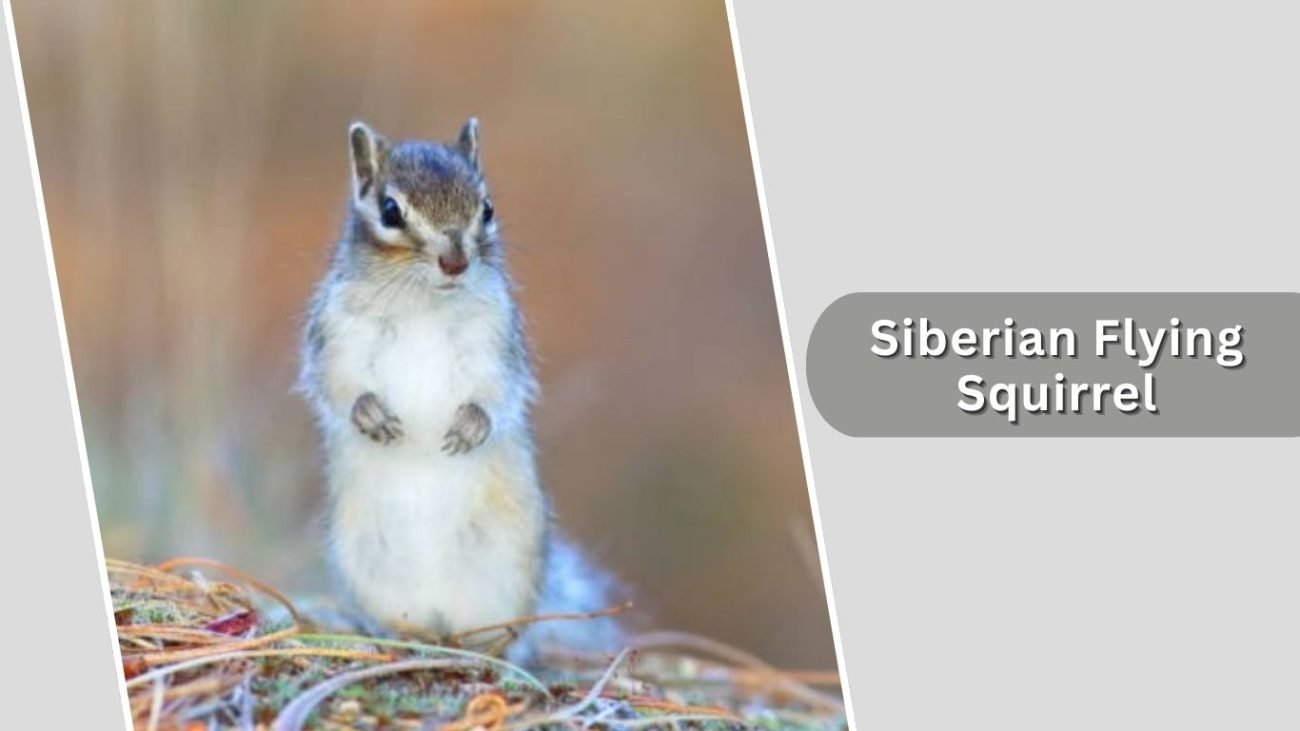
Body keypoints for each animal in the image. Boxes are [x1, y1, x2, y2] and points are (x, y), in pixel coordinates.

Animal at [298, 119, 622, 662]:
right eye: (390, 211)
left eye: (486, 208)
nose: (455, 262)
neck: (424, 303)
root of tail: (440, 618)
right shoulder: (334, 334)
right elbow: (336, 383)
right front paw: (370, 415)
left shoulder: (497, 340)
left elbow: (500, 388)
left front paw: (472, 426)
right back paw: (401, 637)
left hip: (510, 567)